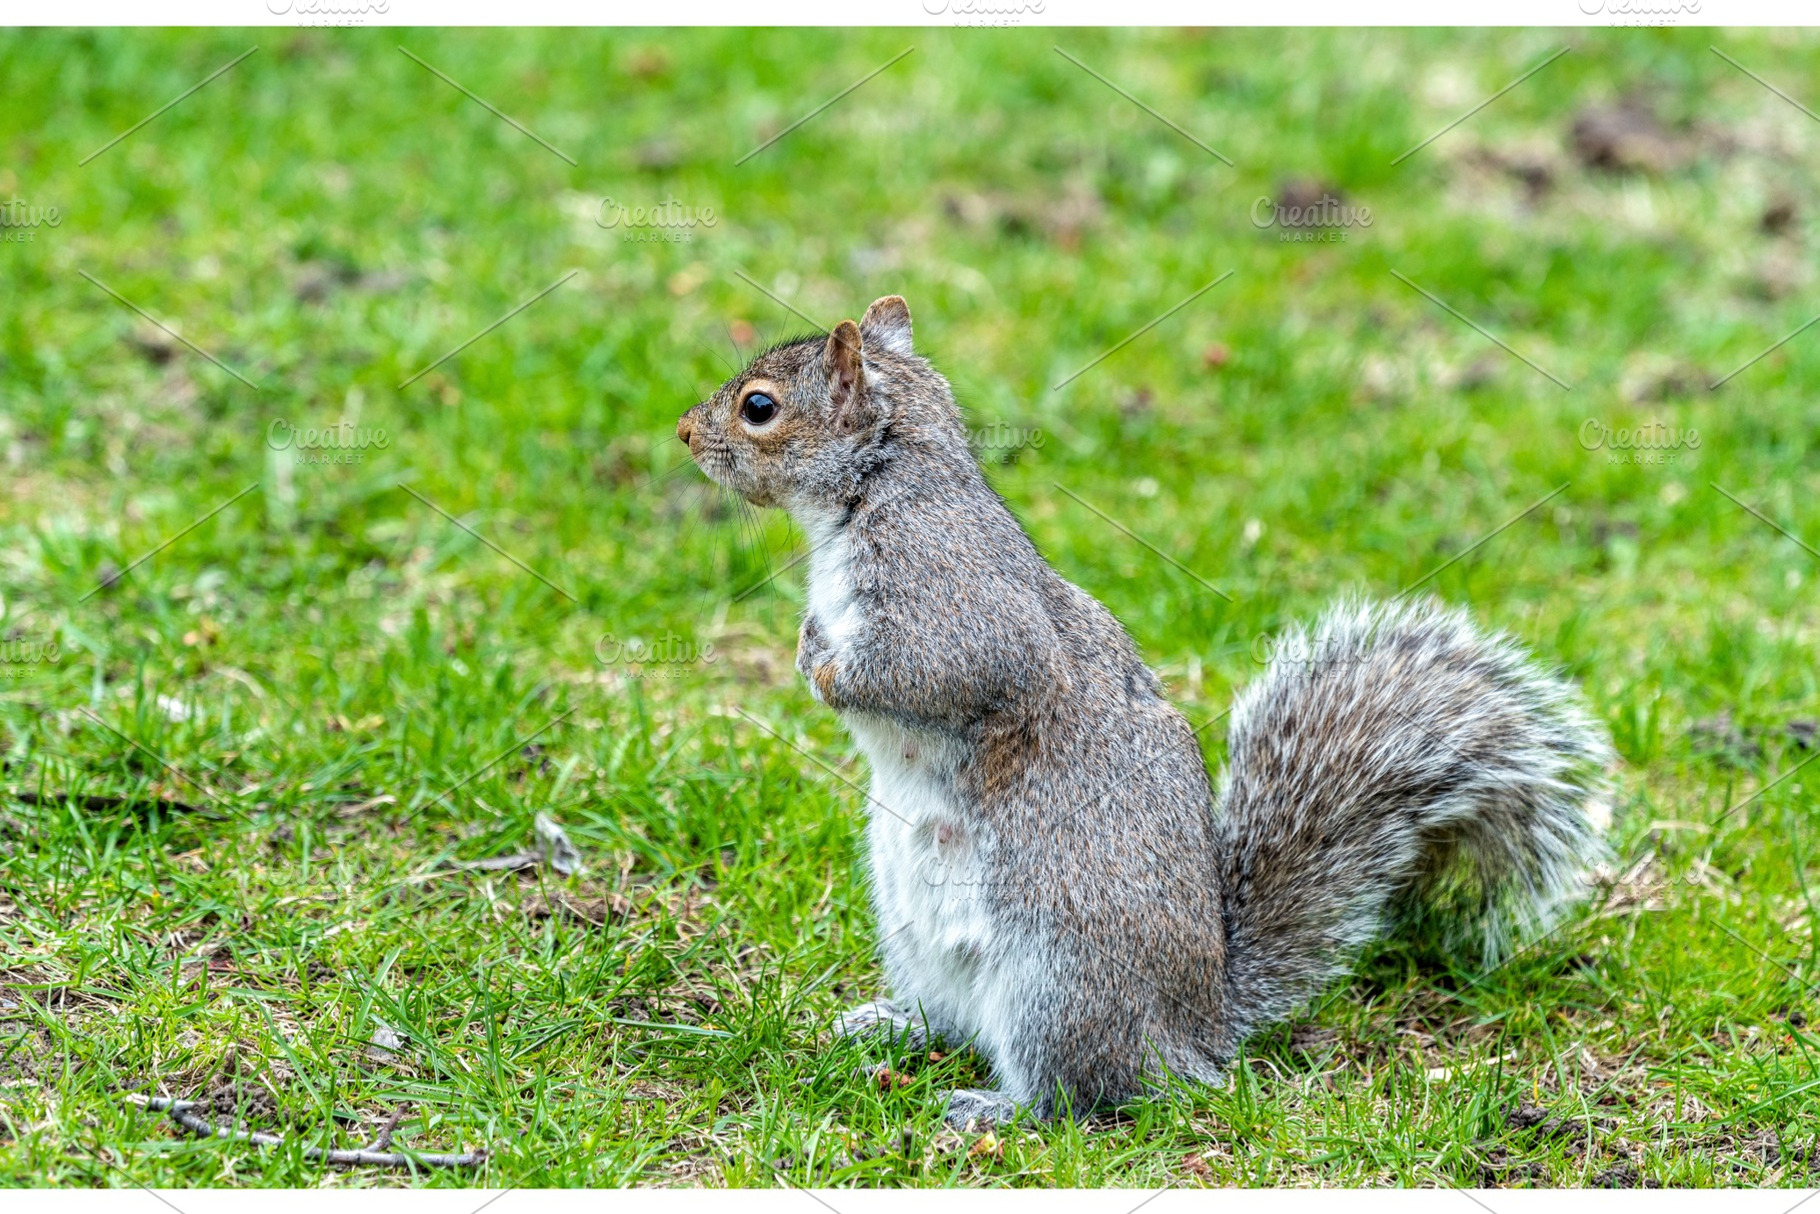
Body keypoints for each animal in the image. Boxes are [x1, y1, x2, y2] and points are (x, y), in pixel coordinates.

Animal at [676, 295, 1613, 1129]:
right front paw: (806, 644)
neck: (872, 494)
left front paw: (829, 674)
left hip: (1058, 982)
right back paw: (890, 1024)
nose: (685, 433)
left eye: (759, 407)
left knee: (1087, 1093)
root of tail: (1195, 1032)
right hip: (919, 942)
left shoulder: (952, 600)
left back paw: (997, 1109)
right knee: (954, 1023)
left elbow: (934, 676)